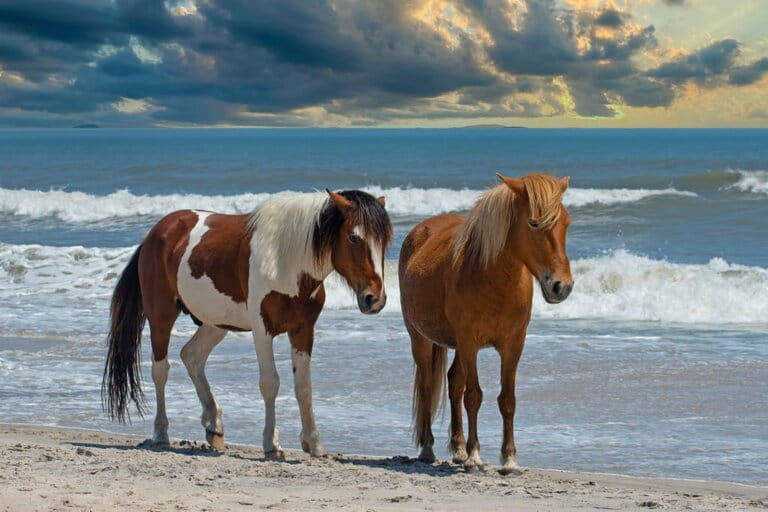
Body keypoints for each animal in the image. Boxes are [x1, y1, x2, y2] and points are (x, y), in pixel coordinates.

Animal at [102, 189, 392, 458]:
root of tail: (156, 233)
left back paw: (214, 424)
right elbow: (270, 383)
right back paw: (162, 433)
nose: (374, 299)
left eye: (385, 241)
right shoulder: (262, 330)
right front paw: (271, 444)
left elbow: (304, 388)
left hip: (216, 322)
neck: (287, 261)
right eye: (354, 238)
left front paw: (314, 444)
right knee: (161, 370)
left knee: (192, 356)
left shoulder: (303, 330)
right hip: (161, 316)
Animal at [399, 173, 573, 474]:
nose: (561, 286)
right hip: (420, 338)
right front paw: (475, 457)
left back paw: (457, 448)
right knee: (428, 386)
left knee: (453, 383)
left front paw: (509, 459)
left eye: (566, 222)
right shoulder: (470, 342)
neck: (493, 279)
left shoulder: (514, 344)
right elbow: (474, 396)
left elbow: (507, 399)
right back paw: (429, 448)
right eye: (534, 223)